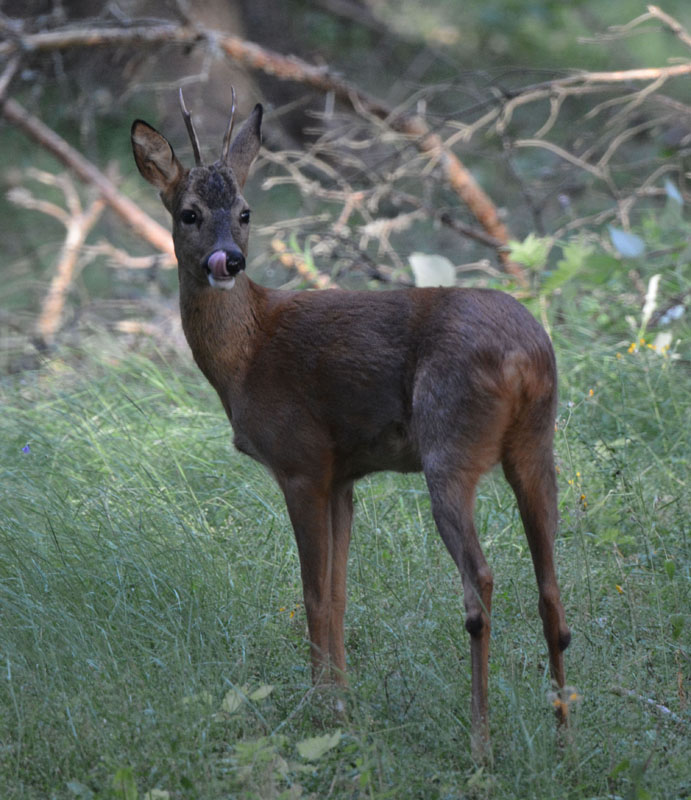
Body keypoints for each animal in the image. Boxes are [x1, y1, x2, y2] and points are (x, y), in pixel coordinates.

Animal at [131, 92, 572, 756]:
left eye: (245, 211)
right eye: (189, 213)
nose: (228, 260)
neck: (245, 355)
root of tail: (526, 357)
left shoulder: (301, 462)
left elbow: (313, 594)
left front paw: (325, 711)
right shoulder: (343, 476)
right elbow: (339, 593)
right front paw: (344, 699)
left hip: (449, 445)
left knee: (481, 581)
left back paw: (481, 742)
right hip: (536, 444)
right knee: (551, 586)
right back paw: (565, 733)